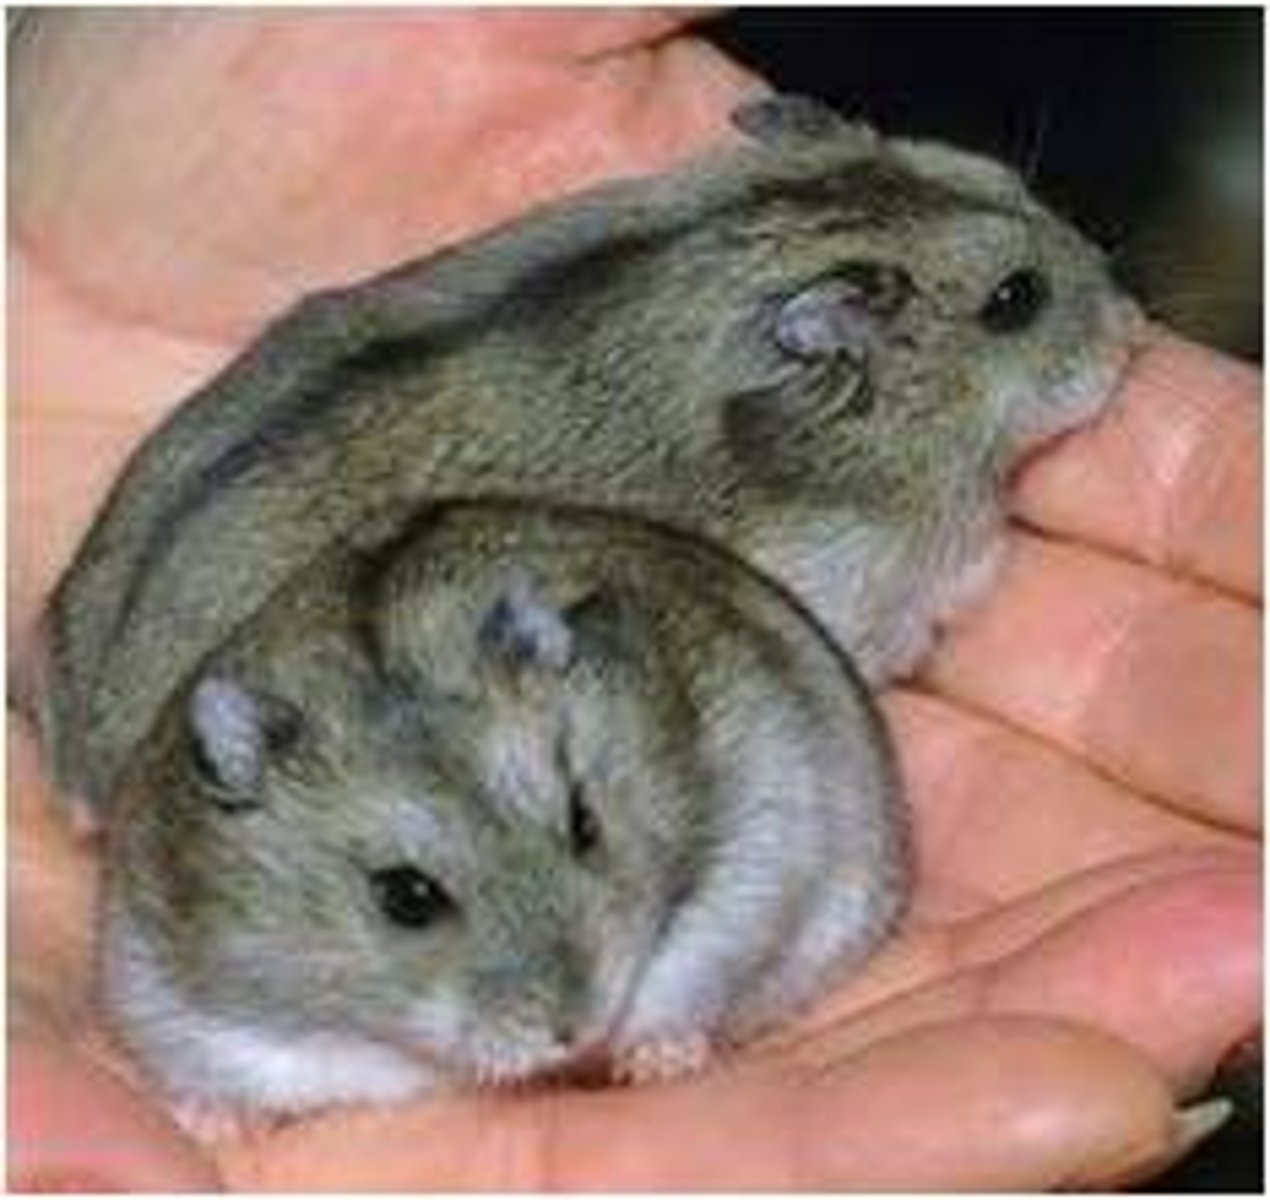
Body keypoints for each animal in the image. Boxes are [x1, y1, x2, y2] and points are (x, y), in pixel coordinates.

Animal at [100, 501, 906, 1119]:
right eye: (406, 897)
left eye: (584, 820)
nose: (576, 1032)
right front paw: (208, 1119)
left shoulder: (762, 851)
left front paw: (658, 1058)